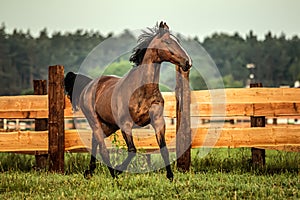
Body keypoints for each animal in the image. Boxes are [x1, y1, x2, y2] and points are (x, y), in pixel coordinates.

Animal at [65, 21, 192, 180]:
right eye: (168, 42)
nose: (188, 62)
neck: (142, 90)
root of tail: (88, 85)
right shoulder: (126, 124)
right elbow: (132, 150)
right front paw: (119, 170)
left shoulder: (158, 121)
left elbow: (164, 149)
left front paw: (170, 177)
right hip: (95, 121)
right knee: (102, 148)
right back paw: (112, 174)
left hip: (109, 125)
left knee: (95, 141)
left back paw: (90, 171)